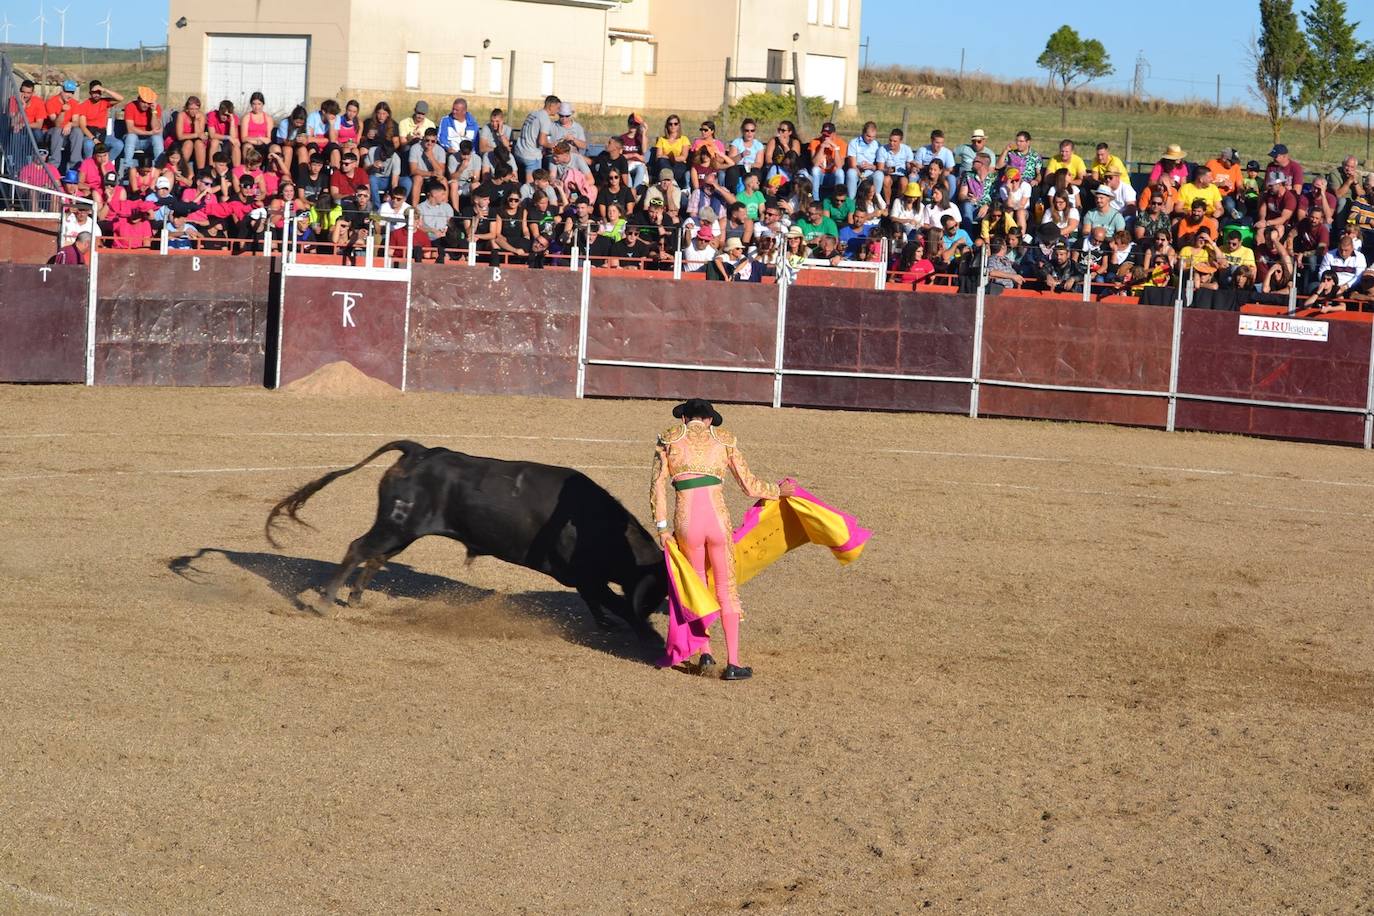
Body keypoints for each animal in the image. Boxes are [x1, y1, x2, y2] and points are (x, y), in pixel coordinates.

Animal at [265, 442, 667, 631]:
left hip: (401, 531)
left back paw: (356, 599)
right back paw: (326, 602)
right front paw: (640, 629)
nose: (654, 610)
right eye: (660, 588)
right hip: (395, 526)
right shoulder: (587, 576)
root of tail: (420, 451)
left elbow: (597, 602)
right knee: (358, 549)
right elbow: (613, 603)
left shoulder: (585, 580)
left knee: (375, 556)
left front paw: (608, 625)